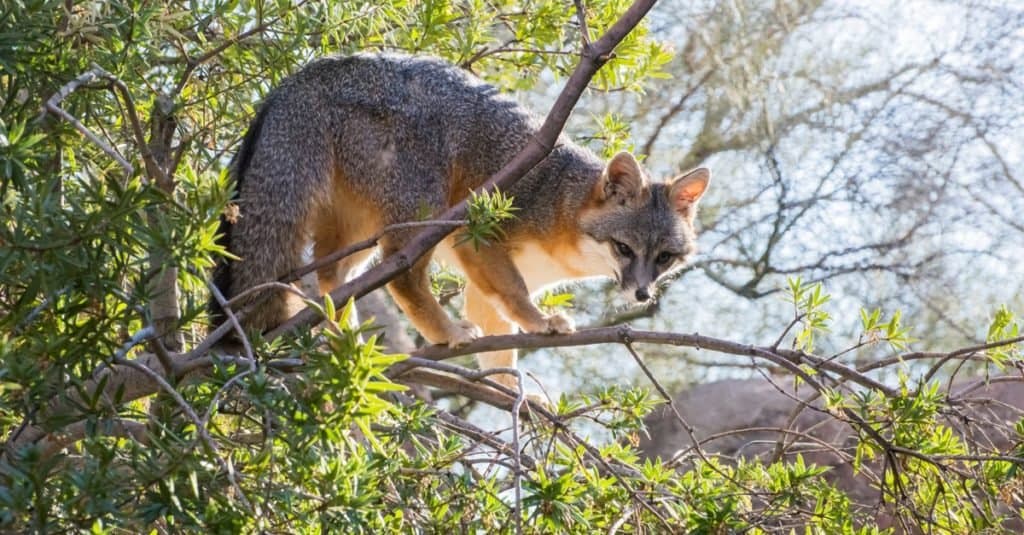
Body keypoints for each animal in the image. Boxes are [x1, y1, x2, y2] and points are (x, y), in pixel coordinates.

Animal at [214, 53, 712, 387]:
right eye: (624, 248)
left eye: (664, 258)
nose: (642, 293)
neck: (561, 202)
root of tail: (316, 71)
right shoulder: (478, 239)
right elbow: (515, 296)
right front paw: (540, 323)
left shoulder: (485, 283)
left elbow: (502, 348)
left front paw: (513, 399)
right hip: (421, 216)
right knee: (402, 276)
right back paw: (444, 331)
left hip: (359, 230)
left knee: (330, 275)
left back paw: (349, 340)